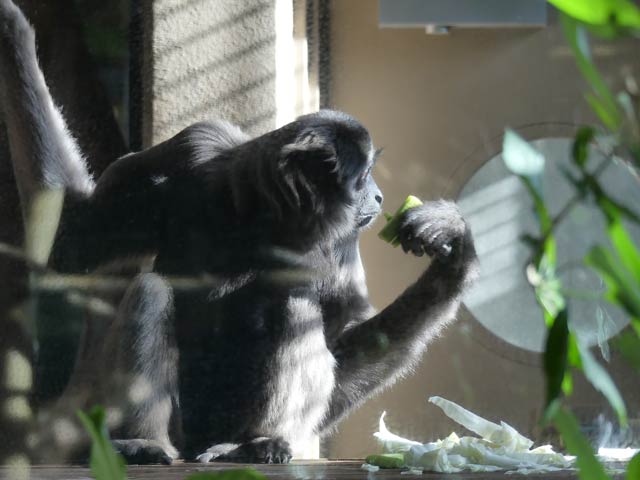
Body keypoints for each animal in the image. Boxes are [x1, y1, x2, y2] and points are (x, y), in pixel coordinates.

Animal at [0, 0, 480, 464]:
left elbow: (346, 339)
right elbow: (72, 241)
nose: (379, 197)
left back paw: (257, 441)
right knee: (152, 289)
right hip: (184, 423)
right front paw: (15, 32)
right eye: (363, 178)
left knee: (293, 302)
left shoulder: (342, 241)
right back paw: (145, 441)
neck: (263, 219)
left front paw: (453, 252)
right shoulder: (193, 147)